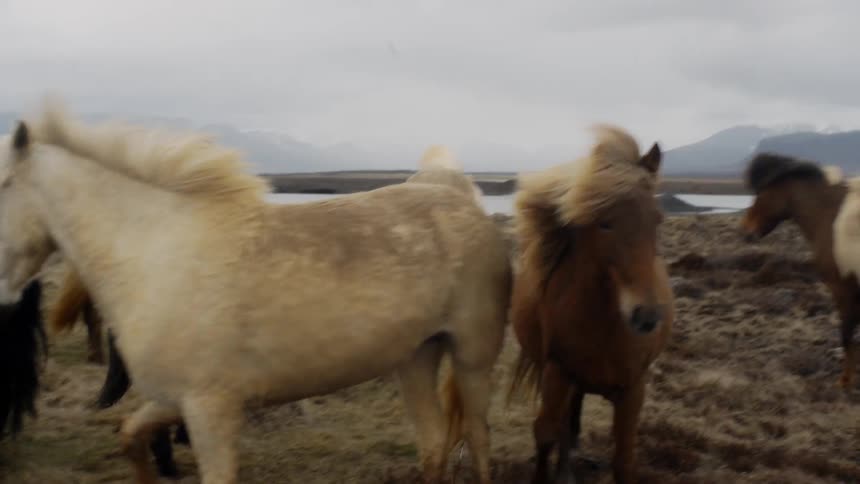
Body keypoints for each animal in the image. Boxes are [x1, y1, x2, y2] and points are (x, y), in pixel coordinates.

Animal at [508, 126, 674, 484]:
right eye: (604, 222)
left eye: (657, 220)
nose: (646, 315)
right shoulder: (558, 372)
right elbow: (545, 433)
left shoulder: (633, 389)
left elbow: (623, 461)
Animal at [740, 153, 857, 389]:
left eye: (760, 193)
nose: (745, 230)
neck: (830, 215)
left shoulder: (842, 289)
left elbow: (847, 335)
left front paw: (845, 380)